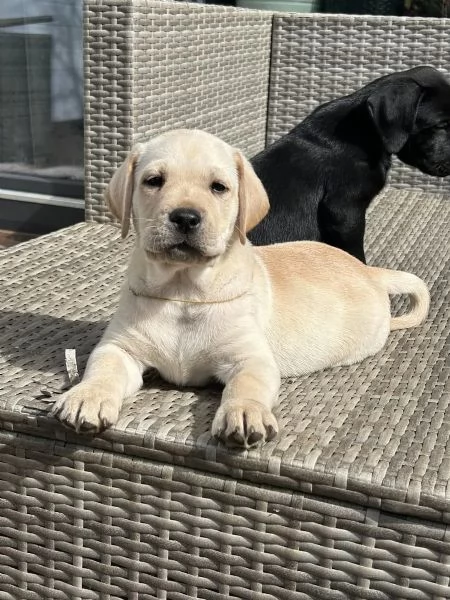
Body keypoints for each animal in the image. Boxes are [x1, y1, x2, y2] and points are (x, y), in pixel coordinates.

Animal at [51, 129, 430, 448]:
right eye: (153, 181)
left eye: (218, 187)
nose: (185, 217)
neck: (183, 291)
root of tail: (371, 272)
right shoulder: (120, 347)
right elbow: (103, 368)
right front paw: (87, 396)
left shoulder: (251, 357)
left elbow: (247, 385)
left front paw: (245, 413)